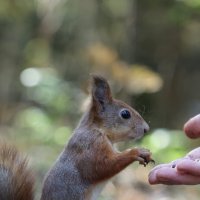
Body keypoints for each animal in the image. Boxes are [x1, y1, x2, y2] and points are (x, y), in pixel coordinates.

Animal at [0, 75, 153, 200]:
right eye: (125, 114)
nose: (146, 129)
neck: (99, 130)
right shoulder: (89, 146)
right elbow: (101, 167)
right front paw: (136, 152)